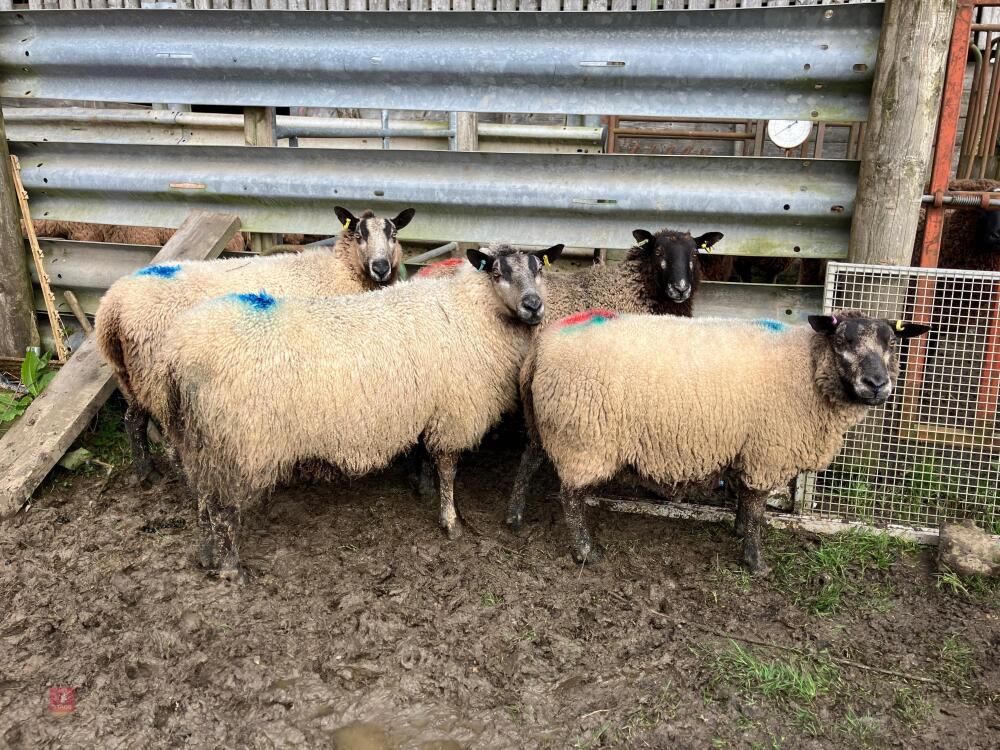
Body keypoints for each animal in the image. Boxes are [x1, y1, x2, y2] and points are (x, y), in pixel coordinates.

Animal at [95, 206, 415, 485]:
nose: (381, 267)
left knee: (133, 420)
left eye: (394, 234)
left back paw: (147, 475)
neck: (342, 270)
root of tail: (112, 307)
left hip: (132, 376)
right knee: (171, 441)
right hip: (157, 378)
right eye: (360, 235)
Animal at [162, 243, 564, 582]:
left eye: (538, 268)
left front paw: (421, 487)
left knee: (203, 499)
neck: (472, 310)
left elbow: (421, 452)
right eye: (497, 271)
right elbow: (448, 469)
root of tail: (179, 353)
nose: (533, 305)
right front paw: (450, 522)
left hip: (199, 440)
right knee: (222, 506)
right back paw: (231, 569)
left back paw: (206, 556)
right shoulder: (453, 413)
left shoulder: (426, 406)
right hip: (237, 442)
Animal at [522, 309, 930, 573]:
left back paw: (515, 518)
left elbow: (746, 500)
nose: (877, 384)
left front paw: (740, 530)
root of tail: (544, 344)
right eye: (843, 340)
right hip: (584, 439)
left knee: (528, 461)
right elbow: (755, 505)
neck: (808, 368)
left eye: (893, 342)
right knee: (570, 498)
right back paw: (585, 553)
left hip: (551, 426)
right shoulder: (769, 451)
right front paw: (755, 561)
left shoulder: (749, 447)